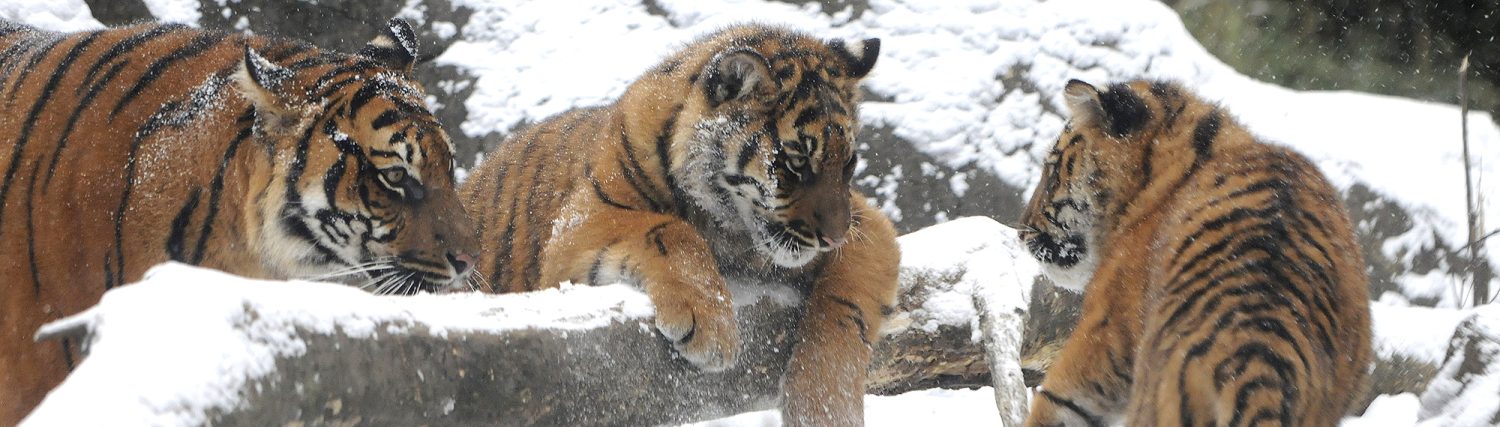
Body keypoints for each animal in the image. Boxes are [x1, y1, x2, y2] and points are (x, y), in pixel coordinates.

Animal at [462, 24, 894, 422]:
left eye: (848, 163)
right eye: (797, 161)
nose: (833, 239)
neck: (730, 226)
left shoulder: (868, 224)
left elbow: (844, 312)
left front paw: (826, 409)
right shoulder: (581, 220)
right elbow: (672, 231)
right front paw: (712, 331)